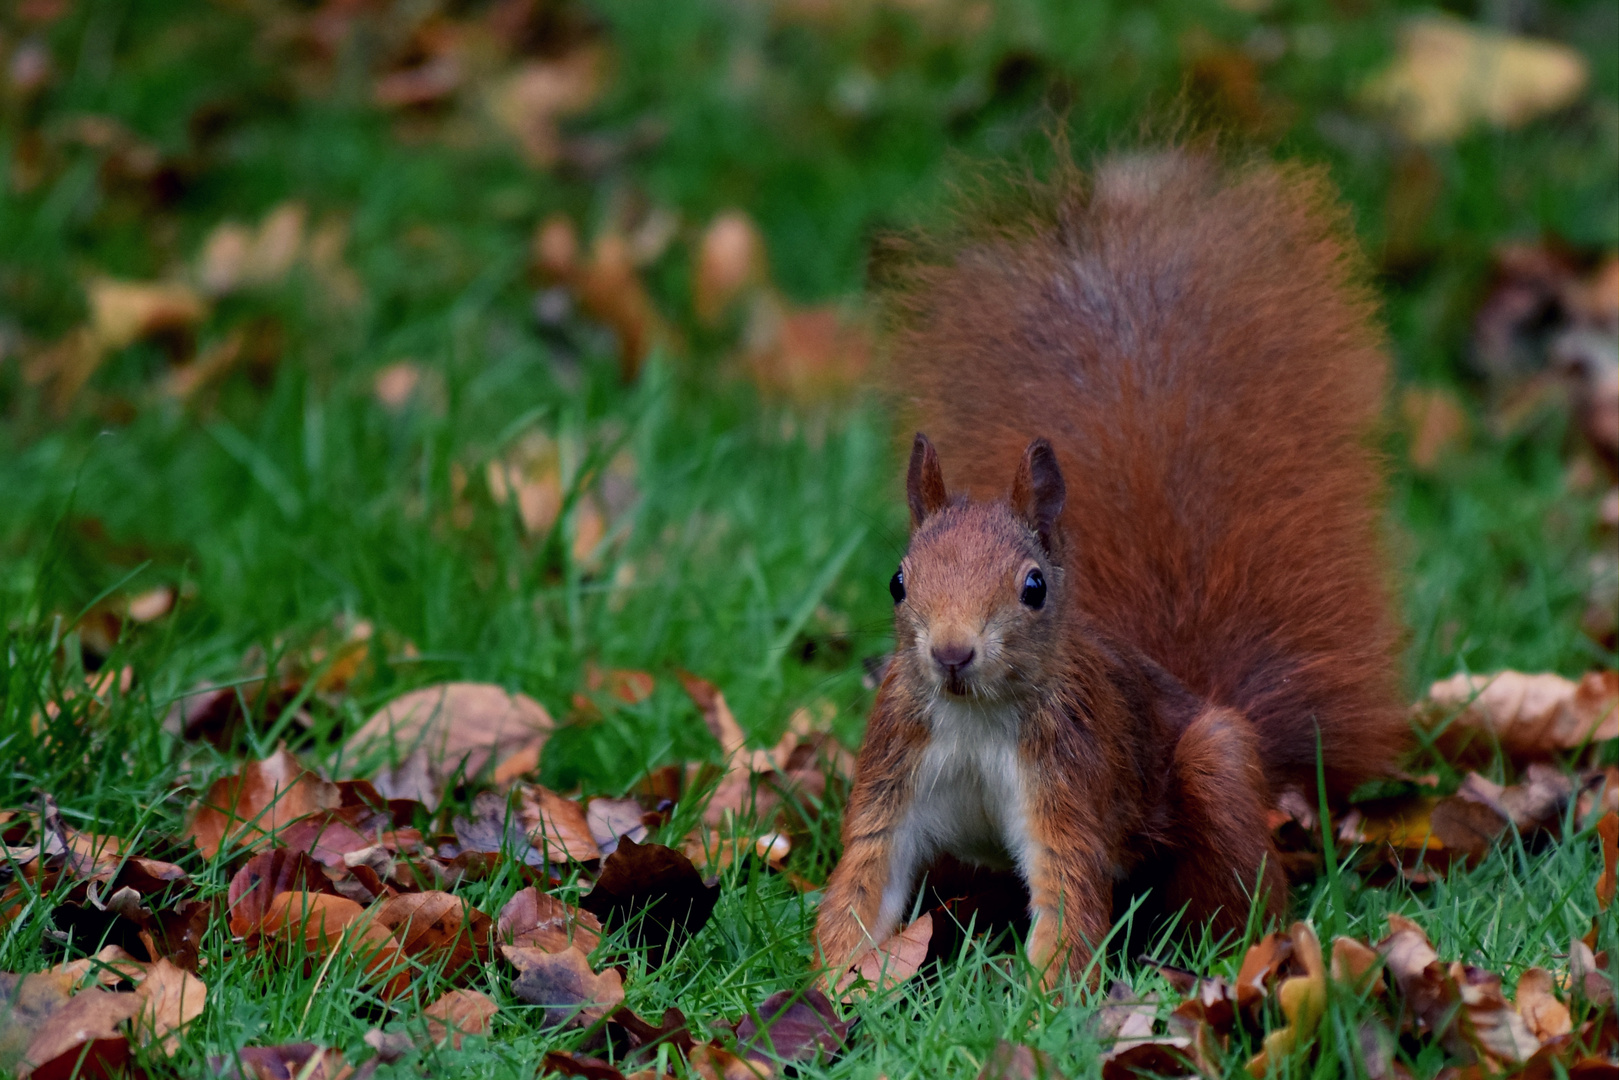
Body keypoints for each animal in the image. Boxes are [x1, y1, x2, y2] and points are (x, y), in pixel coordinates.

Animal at [815, 145, 1411, 990]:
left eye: (1033, 587)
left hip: (1213, 769)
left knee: (1237, 890)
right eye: (898, 582)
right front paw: (838, 985)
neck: (974, 717)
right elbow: (863, 879)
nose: (952, 653)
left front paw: (1044, 1001)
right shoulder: (894, 773)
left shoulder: (1069, 784)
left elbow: (1067, 890)